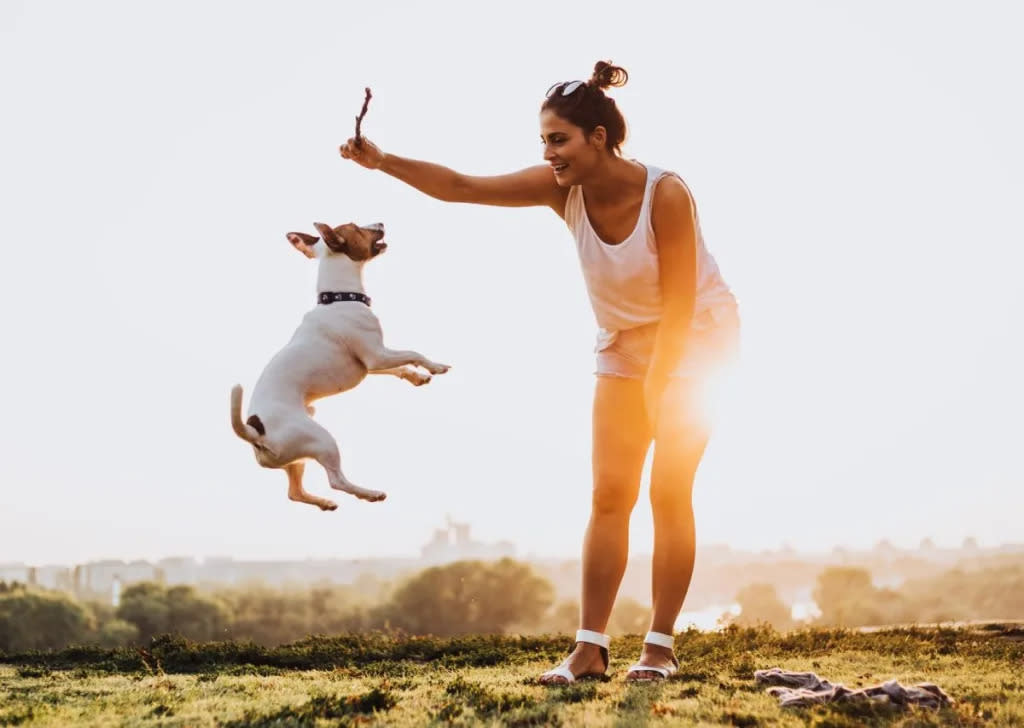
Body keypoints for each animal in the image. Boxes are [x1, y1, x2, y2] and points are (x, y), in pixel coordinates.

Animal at [232, 222, 448, 511]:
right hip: (322, 439)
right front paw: (435, 366)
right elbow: (413, 352)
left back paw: (324, 503)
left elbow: (399, 367)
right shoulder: (377, 355)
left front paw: (417, 377)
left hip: (296, 458)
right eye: (356, 227)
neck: (339, 298)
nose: (380, 223)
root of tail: (255, 431)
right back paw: (369, 493)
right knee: (336, 480)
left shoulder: (370, 363)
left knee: (294, 492)